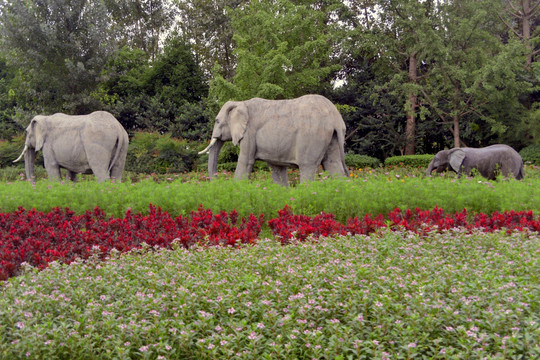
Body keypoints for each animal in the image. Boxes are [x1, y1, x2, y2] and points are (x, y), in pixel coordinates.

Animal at [199, 94, 350, 187]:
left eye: (217, 121)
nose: (218, 182)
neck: (240, 103)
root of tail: (335, 117)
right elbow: (276, 168)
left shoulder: (249, 132)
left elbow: (245, 161)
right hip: (331, 136)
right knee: (333, 164)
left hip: (313, 136)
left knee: (307, 167)